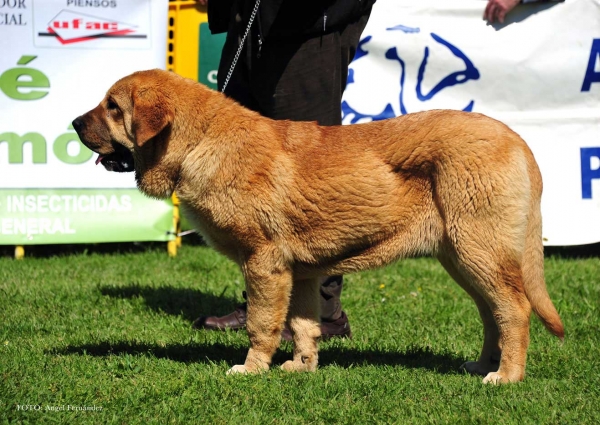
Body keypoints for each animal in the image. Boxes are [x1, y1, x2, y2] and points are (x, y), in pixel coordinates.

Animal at [72, 68, 564, 380]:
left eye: (113, 107)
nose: (74, 123)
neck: (200, 141)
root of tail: (517, 139)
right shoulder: (300, 273)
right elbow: (303, 324)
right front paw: (301, 368)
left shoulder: (263, 262)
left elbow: (262, 323)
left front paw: (251, 370)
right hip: (463, 259)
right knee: (491, 313)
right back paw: (482, 366)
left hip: (479, 251)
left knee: (514, 310)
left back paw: (506, 376)